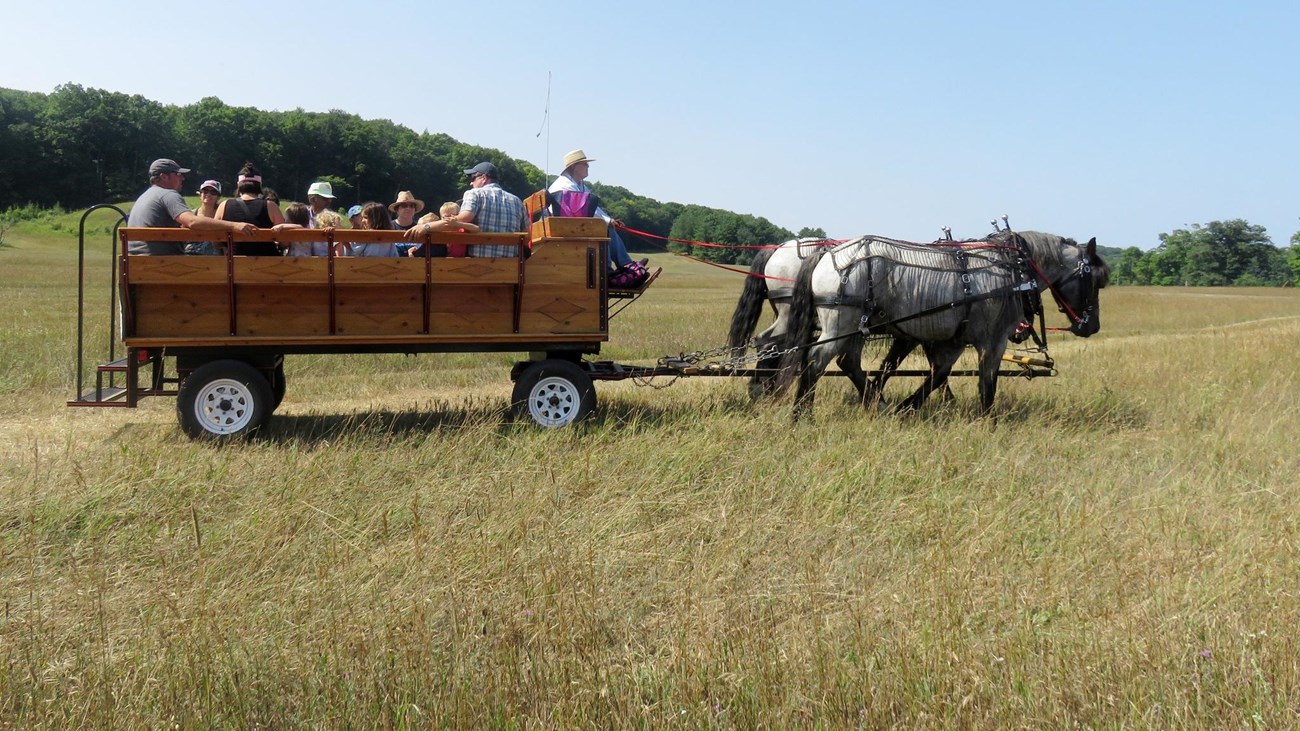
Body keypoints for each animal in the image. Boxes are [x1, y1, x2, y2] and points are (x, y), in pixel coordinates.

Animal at [775, 231, 1108, 417]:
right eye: (1094, 280)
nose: (1091, 326)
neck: (1013, 270)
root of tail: (826, 252)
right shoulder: (993, 339)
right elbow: (987, 382)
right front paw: (989, 420)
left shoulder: (953, 340)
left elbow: (938, 375)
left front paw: (907, 407)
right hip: (839, 324)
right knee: (815, 361)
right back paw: (801, 414)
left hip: (855, 327)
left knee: (848, 362)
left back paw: (877, 404)